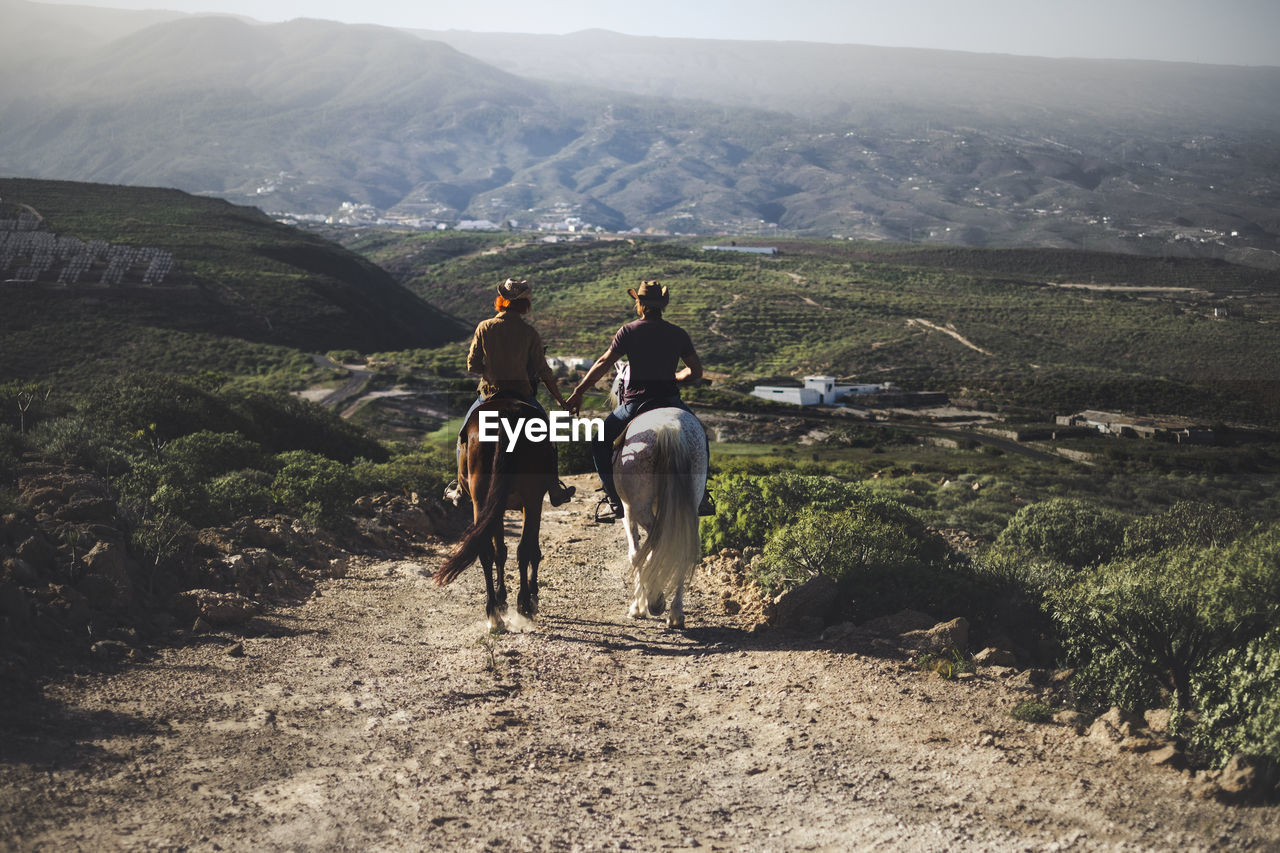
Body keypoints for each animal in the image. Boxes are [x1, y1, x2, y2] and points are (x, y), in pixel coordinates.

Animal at [435, 394, 555, 627]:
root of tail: (504, 415)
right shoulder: (532, 503)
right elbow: (531, 550)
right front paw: (531, 596)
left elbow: (500, 551)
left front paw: (502, 599)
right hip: (529, 496)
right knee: (522, 549)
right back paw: (524, 605)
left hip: (482, 499)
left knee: (485, 550)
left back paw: (493, 612)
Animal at [604, 358, 706, 625]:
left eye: (618, 386)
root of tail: (669, 428)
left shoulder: (628, 511)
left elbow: (636, 553)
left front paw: (638, 606)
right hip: (688, 500)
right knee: (681, 543)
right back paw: (675, 613)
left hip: (637, 507)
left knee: (658, 541)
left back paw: (655, 601)